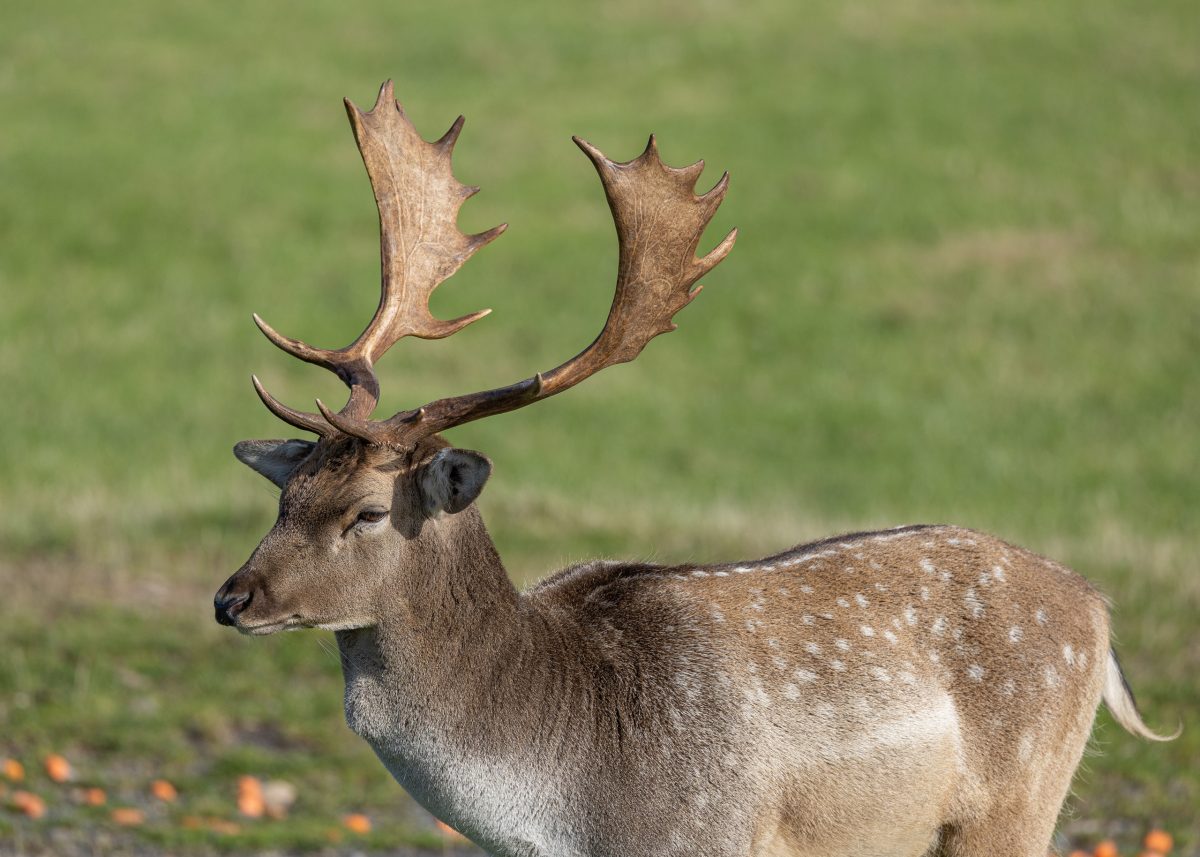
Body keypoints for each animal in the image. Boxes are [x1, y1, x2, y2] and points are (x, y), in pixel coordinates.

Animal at [214, 81, 1175, 857]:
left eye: (368, 510)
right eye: (287, 491)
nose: (231, 598)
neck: (569, 797)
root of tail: (1098, 611)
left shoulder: (707, 832)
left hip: (1014, 802)